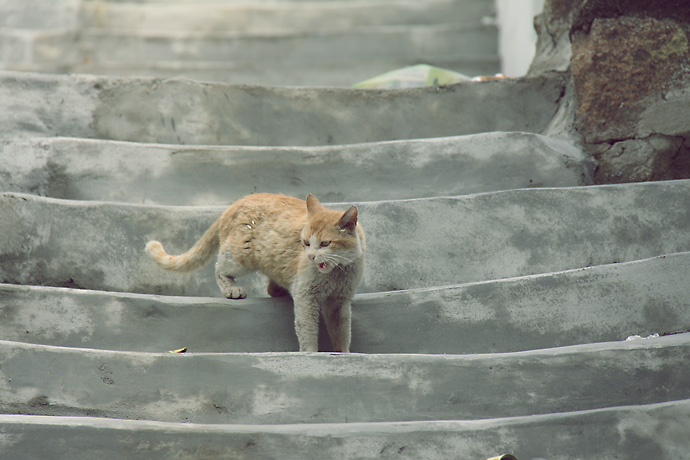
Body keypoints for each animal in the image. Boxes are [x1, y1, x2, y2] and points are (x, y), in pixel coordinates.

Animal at [143, 193, 362, 352]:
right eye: (306, 243)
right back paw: (232, 289)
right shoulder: (305, 296)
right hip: (242, 257)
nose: (310, 257)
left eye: (325, 243)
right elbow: (307, 328)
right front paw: (310, 353)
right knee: (219, 268)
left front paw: (343, 353)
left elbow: (342, 331)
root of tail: (236, 203)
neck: (337, 273)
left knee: (271, 286)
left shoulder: (340, 302)